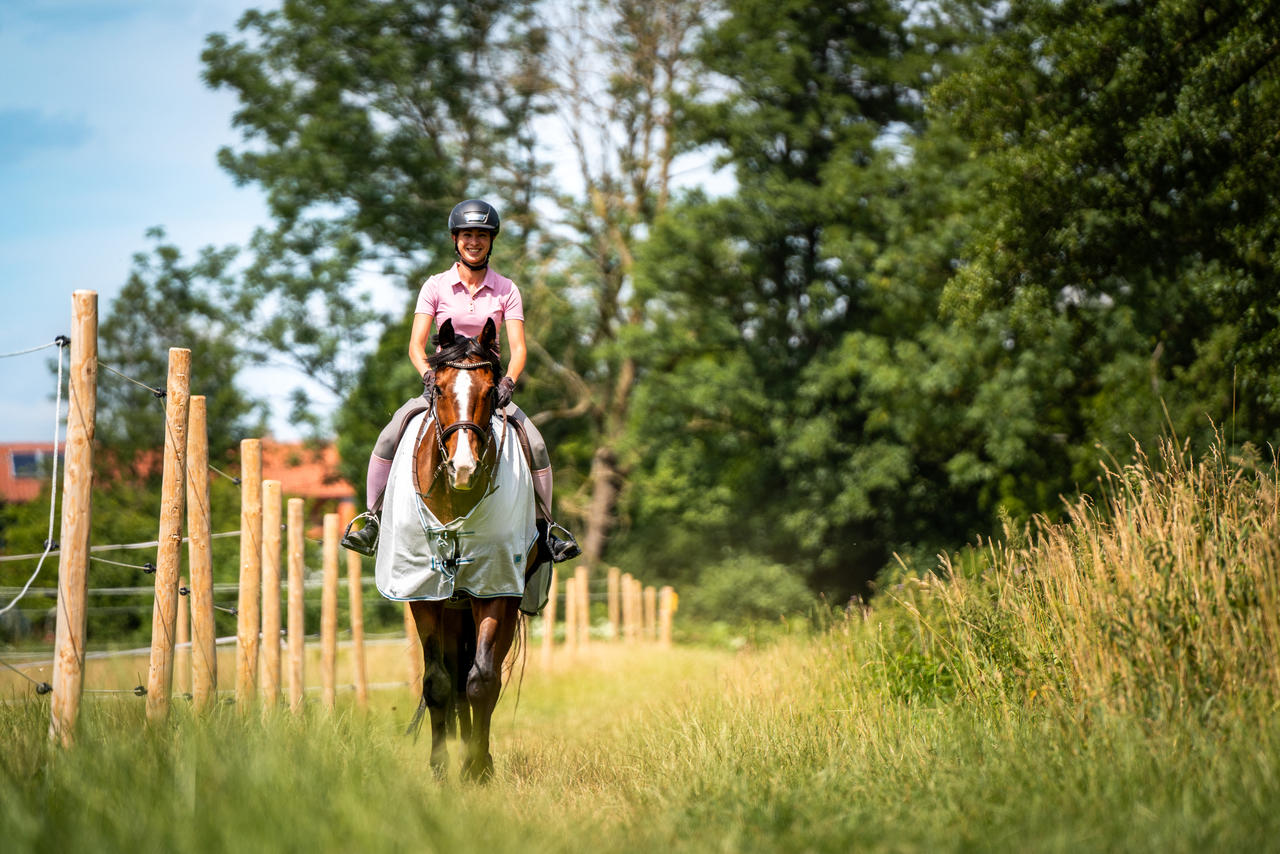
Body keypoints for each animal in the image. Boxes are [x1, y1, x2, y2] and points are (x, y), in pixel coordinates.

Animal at [407, 318, 532, 783]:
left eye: (491, 391)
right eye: (440, 389)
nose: (463, 468)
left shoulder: (495, 592)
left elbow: (482, 682)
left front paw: (477, 767)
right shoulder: (424, 596)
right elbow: (438, 682)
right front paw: (440, 767)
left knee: (479, 678)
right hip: (452, 609)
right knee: (453, 679)